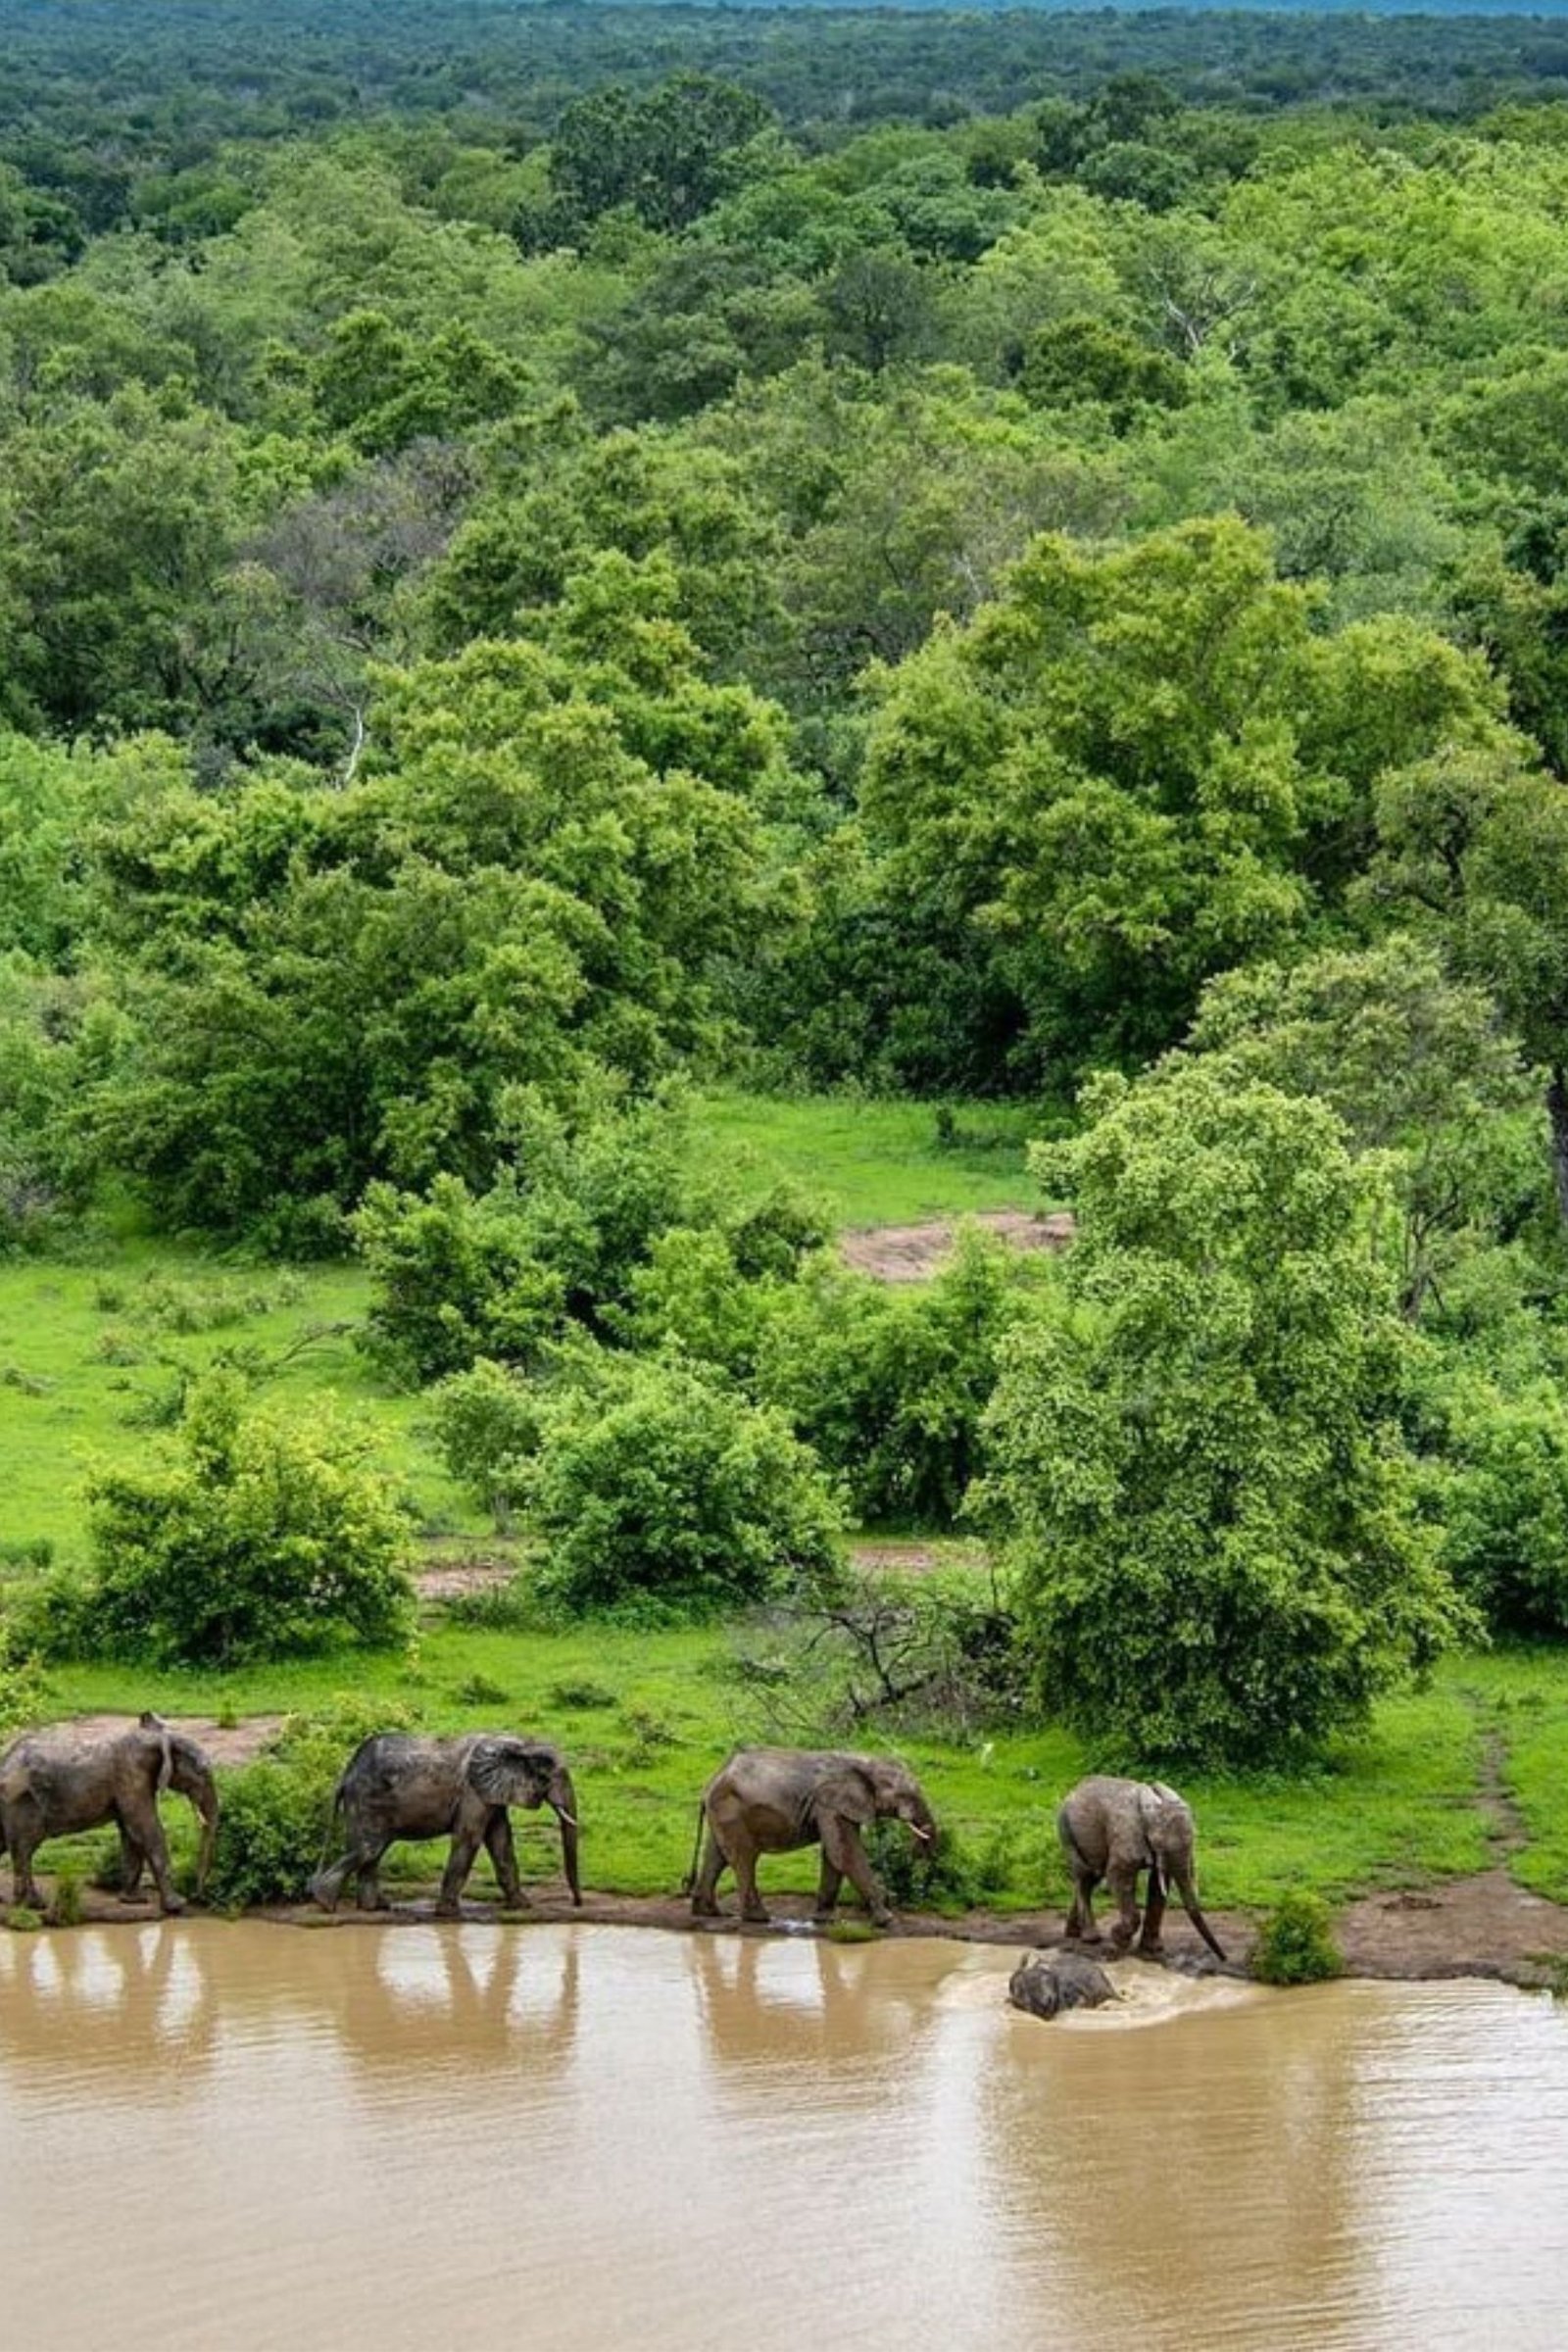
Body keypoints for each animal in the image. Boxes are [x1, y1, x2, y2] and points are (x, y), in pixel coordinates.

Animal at [0, 1721, 220, 1919]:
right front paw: (177, 1905)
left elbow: (132, 1834)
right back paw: (33, 1905)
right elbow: (147, 1830)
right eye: (202, 1771)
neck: (157, 1736)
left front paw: (133, 1900)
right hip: (22, 1800)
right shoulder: (131, 1777)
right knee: (25, 1848)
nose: (197, 1896)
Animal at [305, 1731, 582, 1909]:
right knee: (369, 1848)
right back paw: (325, 1902)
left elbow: (501, 1840)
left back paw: (375, 1907)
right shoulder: (472, 1791)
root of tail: (346, 1774)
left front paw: (523, 1906)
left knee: (373, 1852)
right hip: (366, 1800)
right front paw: (447, 1912)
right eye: (547, 1777)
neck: (519, 1743)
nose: (577, 1904)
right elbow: (469, 1837)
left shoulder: (489, 1791)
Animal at [691, 1749, 940, 1929]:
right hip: (731, 1811)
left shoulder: (838, 1808)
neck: (865, 1762)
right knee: (745, 1858)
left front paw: (824, 1920)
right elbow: (845, 1853)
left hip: (722, 1813)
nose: (918, 1851)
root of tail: (710, 1783)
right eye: (908, 1795)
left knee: (717, 1856)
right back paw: (758, 1918)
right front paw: (887, 1919)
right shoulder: (830, 1805)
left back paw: (710, 1912)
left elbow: (834, 1854)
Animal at [1053, 1768, 1222, 1956]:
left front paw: (1153, 1949)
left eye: (1193, 1840)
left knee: (1091, 1877)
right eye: (1158, 1842)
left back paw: (1073, 1933)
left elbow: (1157, 1886)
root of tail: (1072, 1790)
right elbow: (1118, 1876)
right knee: (1085, 1876)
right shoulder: (1127, 1833)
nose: (1224, 1958)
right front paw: (1119, 1940)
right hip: (1065, 1830)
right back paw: (1091, 1938)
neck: (1150, 1805)